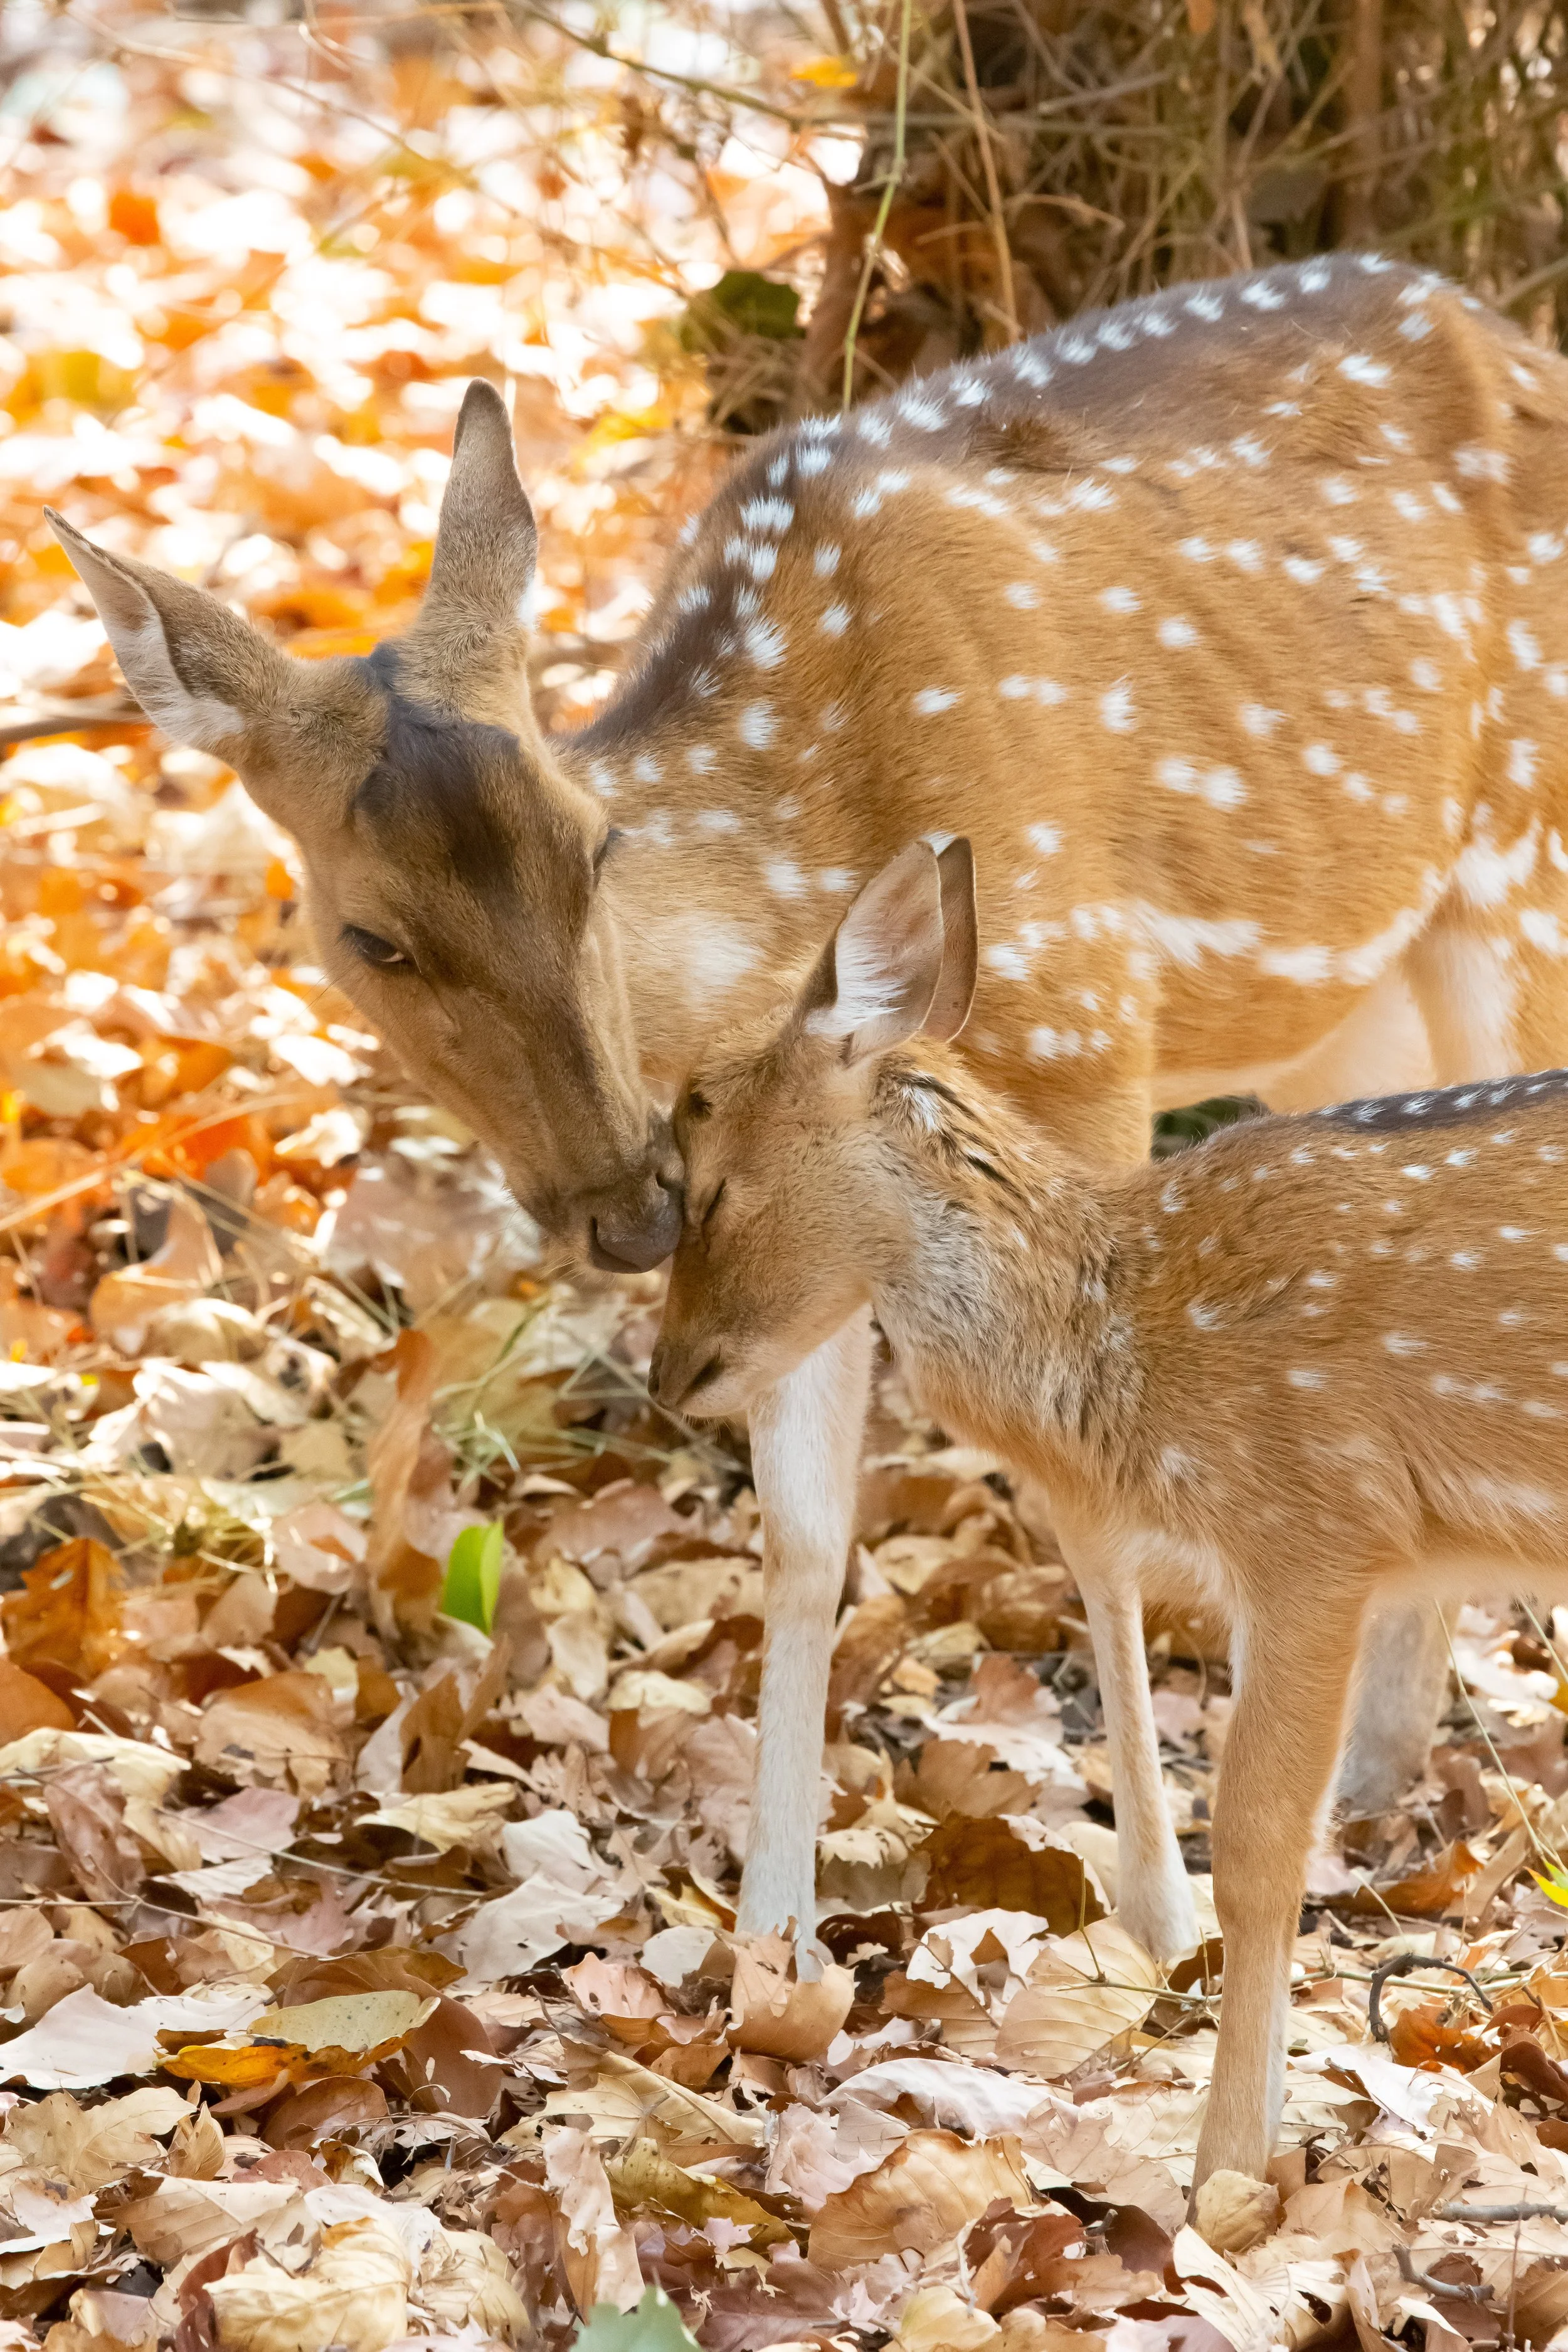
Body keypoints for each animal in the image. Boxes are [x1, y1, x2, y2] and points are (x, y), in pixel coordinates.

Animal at [43, 252, 1568, 1972]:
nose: (628, 1203)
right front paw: (769, 1940)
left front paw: (1156, 1906)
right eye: (374, 935)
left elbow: (1084, 1509)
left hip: (1520, 862)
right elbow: (803, 1536)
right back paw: (1380, 1763)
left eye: (594, 842)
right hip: (1345, 997)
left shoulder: (1088, 1034)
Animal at [649, 833, 1568, 2183]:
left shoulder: (1318, 1528)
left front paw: (1225, 2167)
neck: (1130, 1329)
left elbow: (1254, 1851)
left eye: (710, 1186)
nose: (673, 1377)